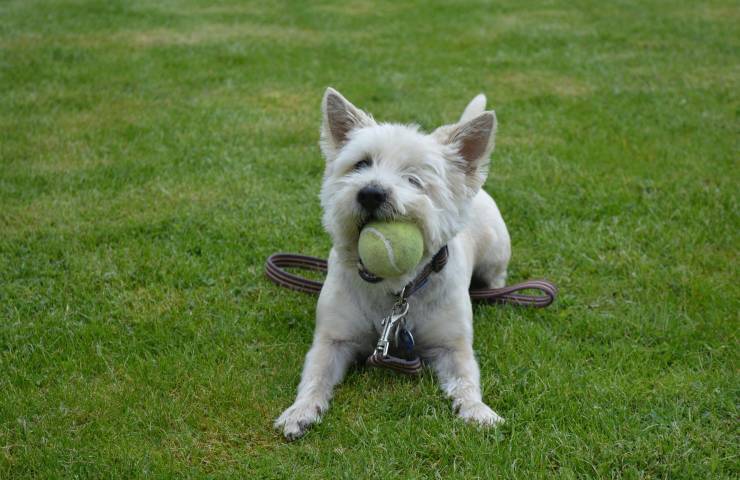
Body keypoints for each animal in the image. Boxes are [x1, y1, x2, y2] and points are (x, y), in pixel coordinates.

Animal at [274, 88, 512, 440]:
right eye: (361, 164)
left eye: (414, 179)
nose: (370, 193)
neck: (393, 291)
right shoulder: (333, 339)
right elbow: (315, 376)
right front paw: (299, 412)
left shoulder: (452, 346)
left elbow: (466, 380)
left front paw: (478, 412)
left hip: (496, 252)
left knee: (497, 277)